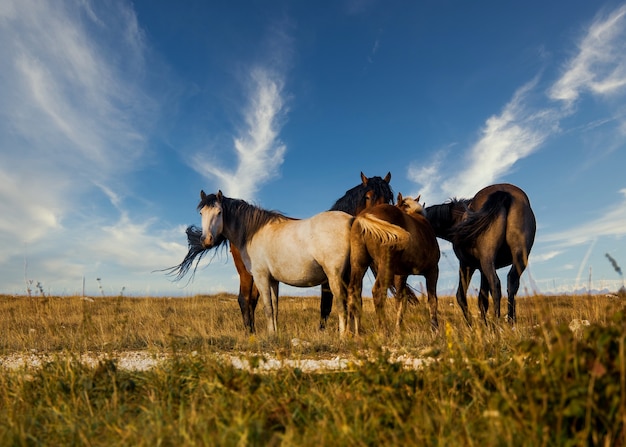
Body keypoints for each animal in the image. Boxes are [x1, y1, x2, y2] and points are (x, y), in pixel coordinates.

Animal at [195, 190, 354, 336]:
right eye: (201, 213)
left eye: (219, 212)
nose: (206, 240)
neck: (253, 233)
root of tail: (351, 220)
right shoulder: (273, 280)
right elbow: (275, 308)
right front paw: (275, 334)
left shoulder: (261, 277)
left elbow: (268, 308)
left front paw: (270, 335)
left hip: (334, 277)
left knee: (342, 305)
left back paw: (343, 336)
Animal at [346, 192, 438, 336]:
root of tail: (364, 216)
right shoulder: (433, 270)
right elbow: (432, 300)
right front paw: (435, 330)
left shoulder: (401, 275)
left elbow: (400, 301)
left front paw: (398, 329)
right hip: (385, 265)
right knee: (378, 292)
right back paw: (383, 331)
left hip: (358, 263)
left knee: (353, 291)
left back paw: (353, 333)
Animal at [424, 184, 536, 324]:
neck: (457, 219)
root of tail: (503, 193)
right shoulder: (481, 269)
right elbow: (482, 298)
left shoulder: (467, 265)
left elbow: (462, 296)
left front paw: (472, 324)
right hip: (519, 258)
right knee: (512, 283)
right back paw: (510, 322)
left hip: (487, 260)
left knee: (495, 285)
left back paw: (497, 324)